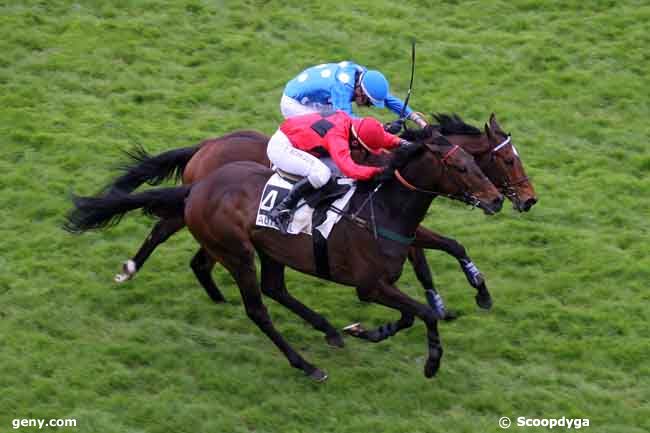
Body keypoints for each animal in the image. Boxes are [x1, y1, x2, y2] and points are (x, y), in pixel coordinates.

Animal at [66, 134, 502, 378]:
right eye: (461, 167)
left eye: (477, 162)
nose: (497, 199)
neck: (383, 209)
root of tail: (199, 185)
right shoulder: (369, 285)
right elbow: (423, 313)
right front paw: (432, 363)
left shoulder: (382, 283)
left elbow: (413, 312)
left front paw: (365, 331)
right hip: (237, 251)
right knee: (258, 308)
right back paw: (306, 365)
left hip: (268, 247)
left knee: (273, 288)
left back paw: (327, 331)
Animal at [104, 111, 536, 316]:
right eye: (508, 160)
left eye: (481, 164)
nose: (527, 199)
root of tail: (206, 145)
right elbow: (434, 253)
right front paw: (454, 299)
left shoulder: (406, 224)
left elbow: (444, 249)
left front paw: (458, 298)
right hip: (193, 207)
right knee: (162, 229)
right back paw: (129, 269)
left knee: (200, 256)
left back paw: (217, 295)